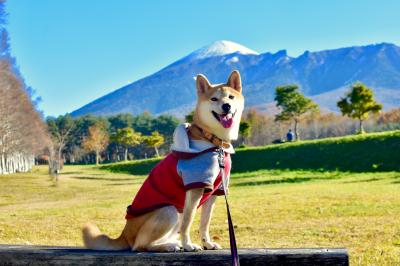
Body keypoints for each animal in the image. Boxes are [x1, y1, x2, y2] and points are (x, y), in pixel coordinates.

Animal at [83, 70, 244, 251]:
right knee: (141, 245)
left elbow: (205, 222)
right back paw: (169, 246)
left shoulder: (214, 191)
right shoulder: (195, 186)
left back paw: (172, 243)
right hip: (169, 210)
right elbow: (188, 223)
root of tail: (125, 235)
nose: (226, 106)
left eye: (231, 97)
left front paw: (207, 243)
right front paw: (188, 245)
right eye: (214, 99)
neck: (213, 141)